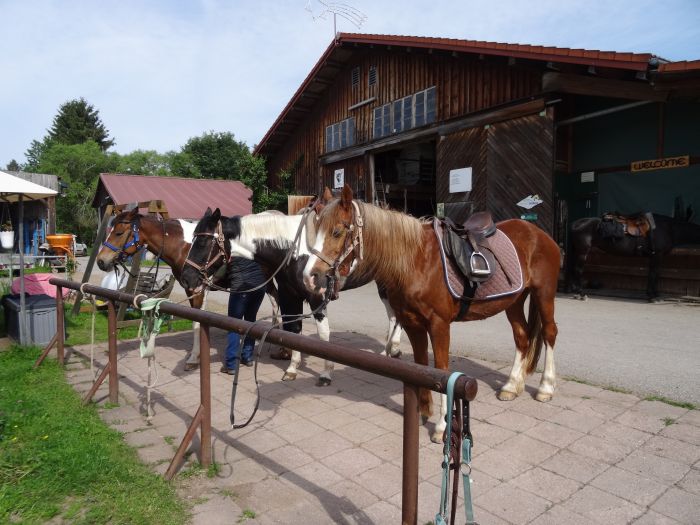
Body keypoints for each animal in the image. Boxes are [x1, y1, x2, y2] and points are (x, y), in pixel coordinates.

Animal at [178, 204, 402, 384]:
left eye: (203, 243)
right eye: (193, 239)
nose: (187, 278)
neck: (294, 251)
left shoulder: (316, 299)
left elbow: (323, 335)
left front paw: (326, 374)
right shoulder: (289, 295)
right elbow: (294, 330)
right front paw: (292, 369)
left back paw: (393, 349)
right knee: (394, 316)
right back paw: (388, 351)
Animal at [304, 184, 560, 442]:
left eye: (337, 232)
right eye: (316, 228)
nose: (310, 276)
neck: (415, 261)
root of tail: (539, 234)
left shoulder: (439, 325)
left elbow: (441, 370)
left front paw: (442, 427)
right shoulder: (412, 324)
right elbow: (421, 366)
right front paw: (422, 412)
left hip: (544, 293)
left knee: (549, 333)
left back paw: (545, 387)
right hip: (514, 301)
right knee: (522, 337)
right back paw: (511, 386)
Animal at [568, 213, 700, 300]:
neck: (668, 228)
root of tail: (576, 223)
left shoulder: (656, 256)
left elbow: (655, 273)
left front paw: (655, 294)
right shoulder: (657, 255)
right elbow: (653, 274)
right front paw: (652, 296)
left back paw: (575, 291)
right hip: (583, 252)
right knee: (578, 270)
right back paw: (581, 294)